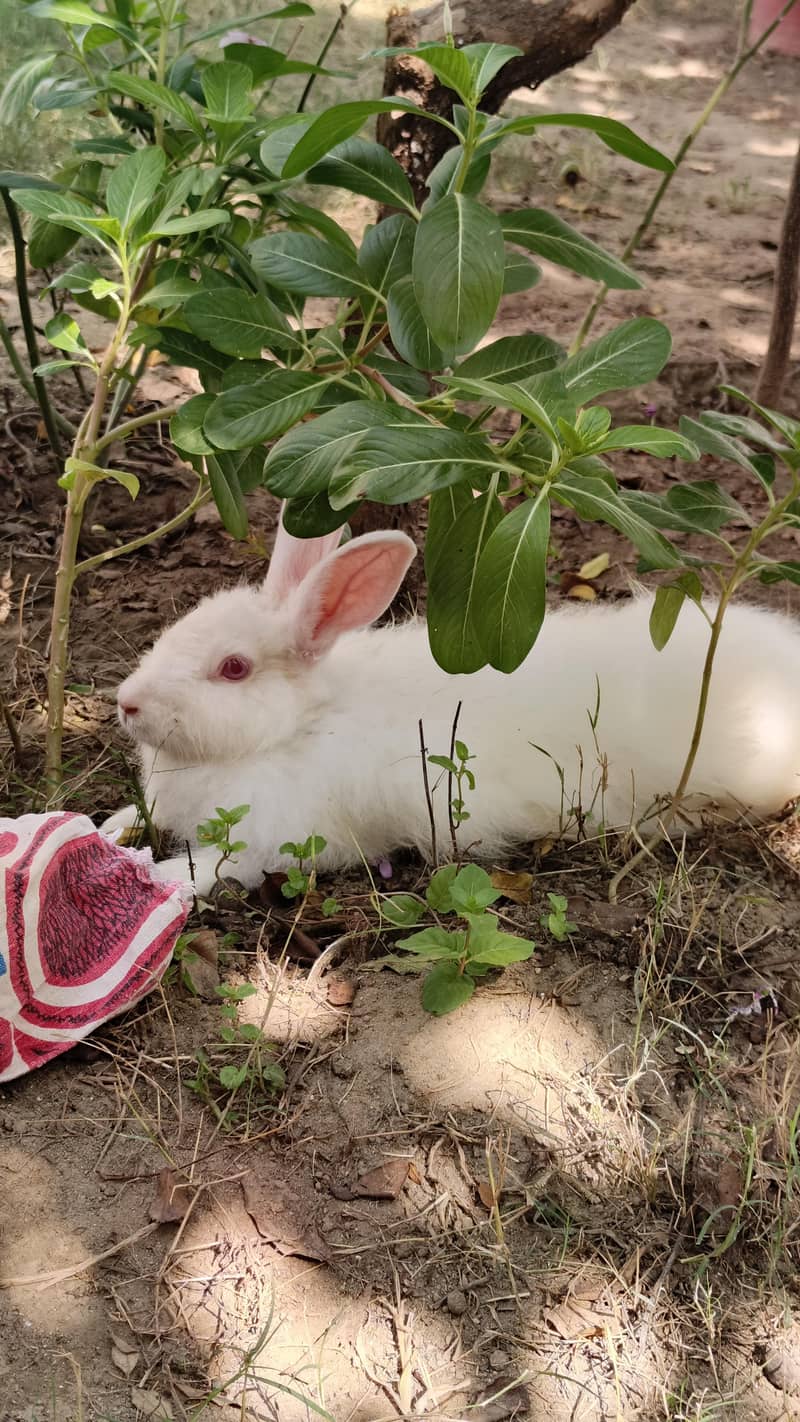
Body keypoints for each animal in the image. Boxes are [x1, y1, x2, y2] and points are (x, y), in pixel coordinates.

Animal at [103, 512, 800, 897]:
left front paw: (146, 877)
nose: (126, 703)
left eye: (233, 668)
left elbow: (200, 872)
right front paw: (110, 830)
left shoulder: (269, 843)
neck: (299, 726)